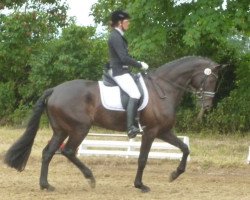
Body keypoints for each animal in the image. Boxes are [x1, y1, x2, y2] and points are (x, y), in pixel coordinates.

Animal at [4, 55, 222, 192]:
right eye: (210, 80)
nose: (207, 105)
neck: (164, 88)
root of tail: (55, 90)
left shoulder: (164, 131)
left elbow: (185, 148)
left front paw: (174, 174)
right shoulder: (151, 132)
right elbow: (142, 159)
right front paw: (140, 185)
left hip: (61, 130)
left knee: (48, 152)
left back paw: (46, 185)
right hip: (79, 128)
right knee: (68, 151)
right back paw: (90, 178)